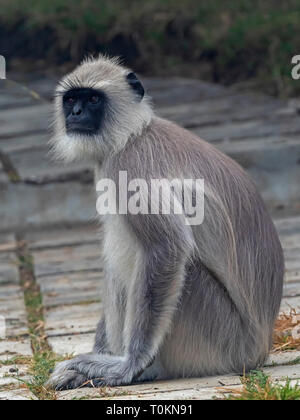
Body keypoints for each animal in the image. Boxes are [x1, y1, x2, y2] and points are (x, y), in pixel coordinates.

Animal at [46, 55, 284, 390]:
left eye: (93, 99)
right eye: (71, 100)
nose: (76, 113)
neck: (133, 133)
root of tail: (260, 349)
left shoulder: (129, 165)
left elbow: (167, 247)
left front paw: (128, 365)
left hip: (219, 341)